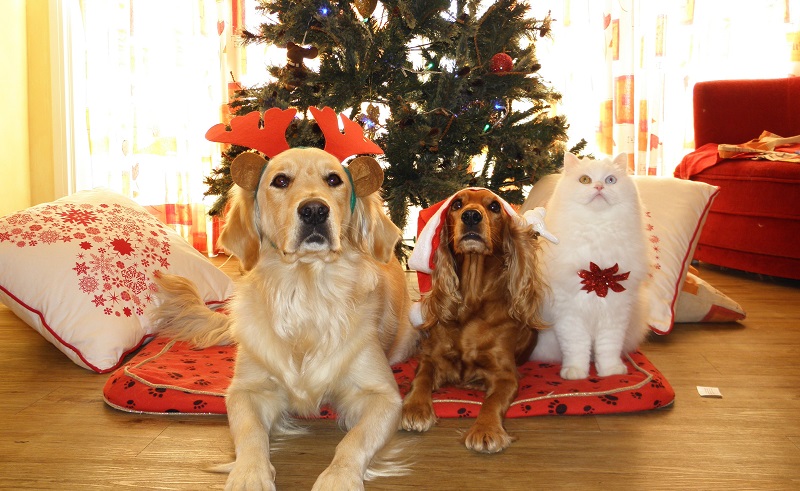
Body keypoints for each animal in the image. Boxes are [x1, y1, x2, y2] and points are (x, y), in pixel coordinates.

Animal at [532, 153, 648, 380]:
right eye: (585, 180)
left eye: (610, 180)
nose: (599, 187)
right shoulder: (570, 313)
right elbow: (577, 348)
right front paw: (576, 373)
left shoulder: (615, 312)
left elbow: (608, 348)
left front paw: (611, 372)